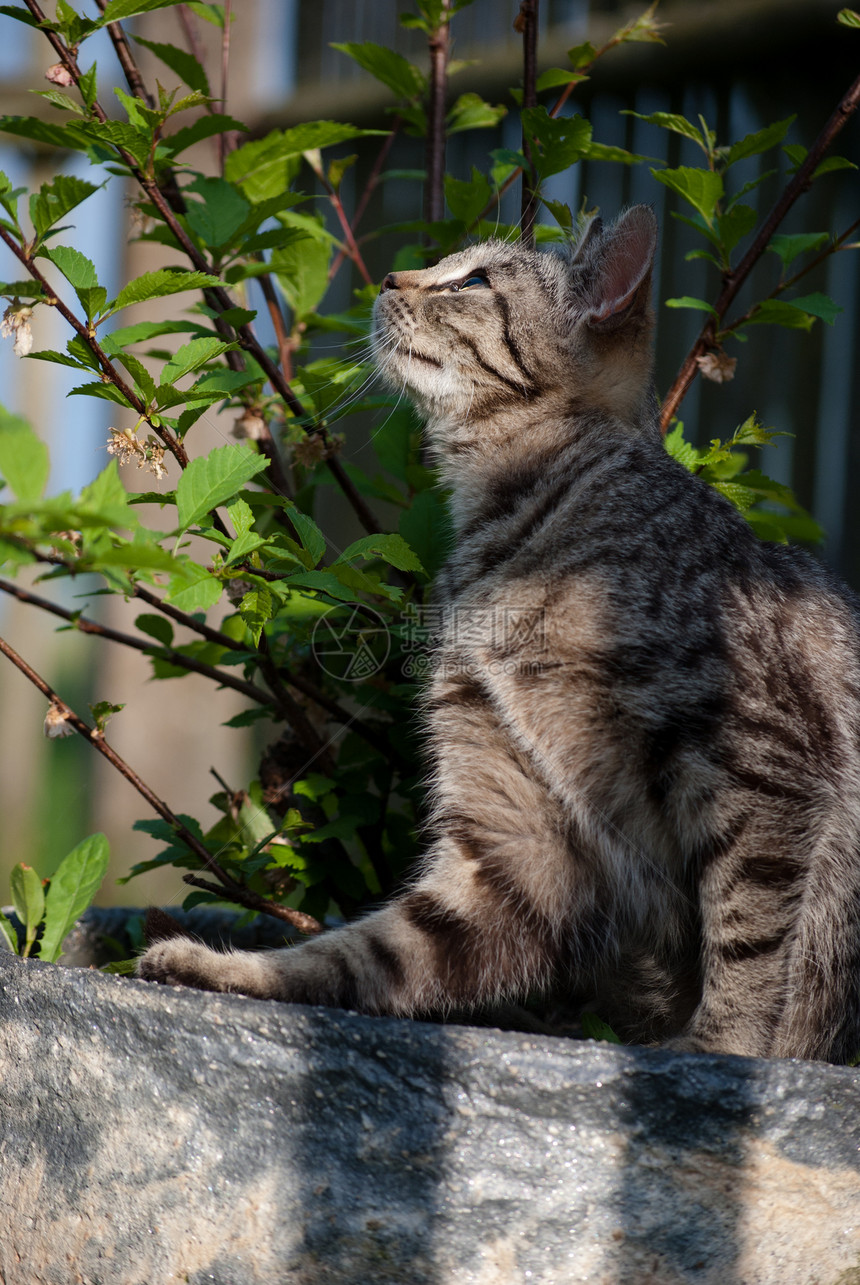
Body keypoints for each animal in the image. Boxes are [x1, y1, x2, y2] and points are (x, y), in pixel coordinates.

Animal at [137, 205, 858, 1058]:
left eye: (474, 281)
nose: (391, 276)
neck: (505, 525)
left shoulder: (761, 761)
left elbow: (748, 941)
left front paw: (718, 1053)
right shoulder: (510, 838)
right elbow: (361, 952)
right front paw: (230, 969)